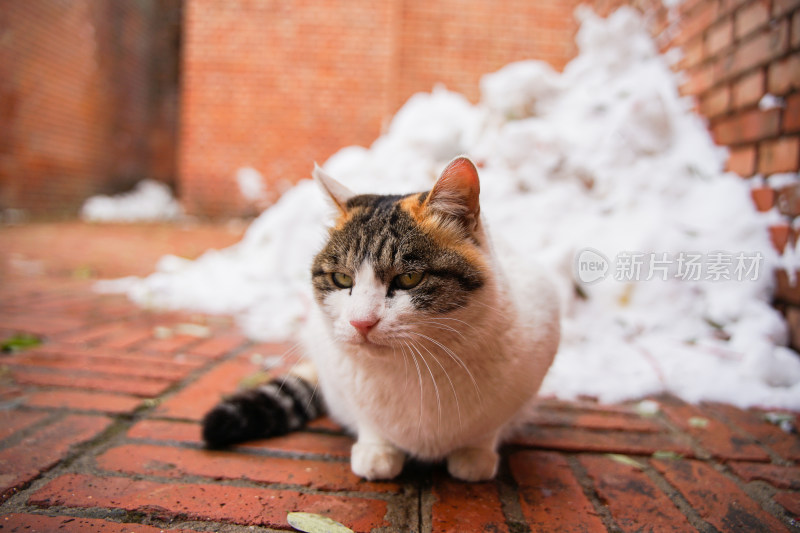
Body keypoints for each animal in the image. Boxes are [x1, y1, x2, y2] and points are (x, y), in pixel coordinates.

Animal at [203, 155, 560, 482]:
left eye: (409, 278)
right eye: (342, 279)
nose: (361, 322)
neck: (416, 372)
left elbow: (488, 428)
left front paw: (474, 455)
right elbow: (370, 423)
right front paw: (377, 451)